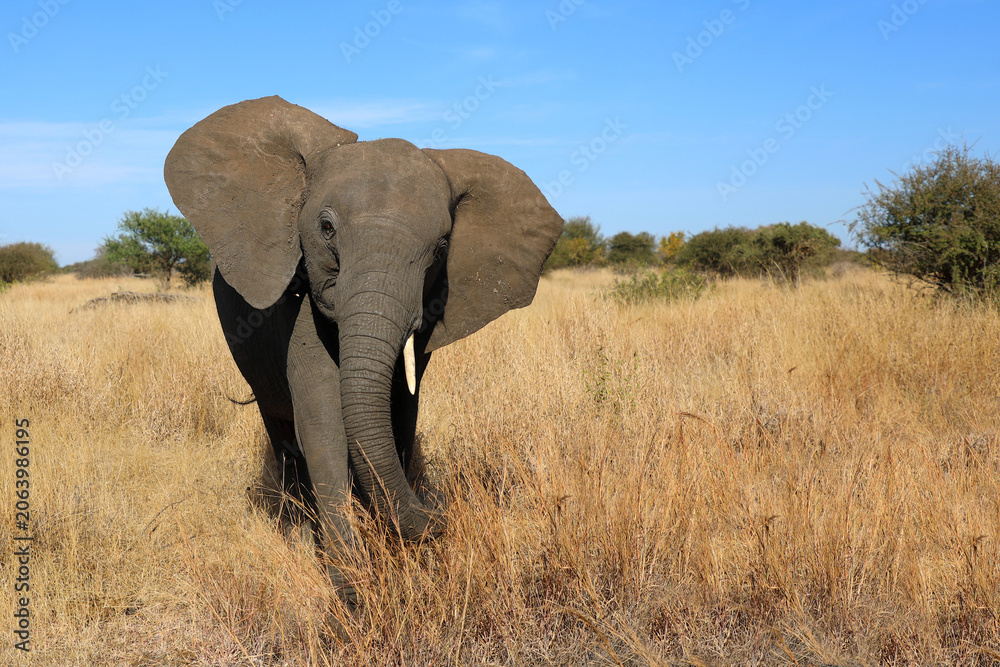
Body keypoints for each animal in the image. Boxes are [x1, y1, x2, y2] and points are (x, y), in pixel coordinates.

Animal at [163, 96, 563, 602]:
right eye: (326, 227)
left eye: (442, 247)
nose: (439, 515)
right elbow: (323, 424)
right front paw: (351, 589)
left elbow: (400, 414)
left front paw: (392, 550)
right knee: (280, 429)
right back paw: (294, 525)